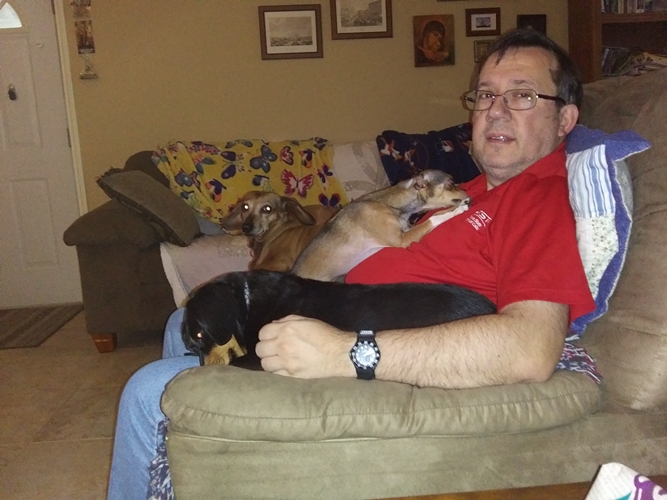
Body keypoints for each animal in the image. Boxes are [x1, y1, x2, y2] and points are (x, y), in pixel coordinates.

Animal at [291, 169, 470, 281]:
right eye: (451, 181)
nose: (467, 191)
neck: (388, 205)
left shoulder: (407, 230)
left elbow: (433, 216)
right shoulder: (402, 239)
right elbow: (434, 218)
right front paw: (457, 210)